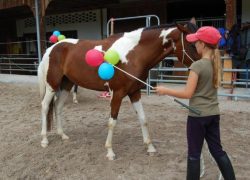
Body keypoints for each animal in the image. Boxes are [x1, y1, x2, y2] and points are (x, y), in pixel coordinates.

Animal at [37, 22, 199, 160]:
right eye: (192, 44)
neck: (133, 54)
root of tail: (51, 48)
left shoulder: (135, 93)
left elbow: (143, 119)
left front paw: (150, 147)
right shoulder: (117, 93)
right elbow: (112, 122)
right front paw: (110, 151)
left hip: (66, 84)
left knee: (57, 106)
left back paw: (62, 135)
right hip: (52, 85)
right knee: (45, 107)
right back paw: (44, 140)